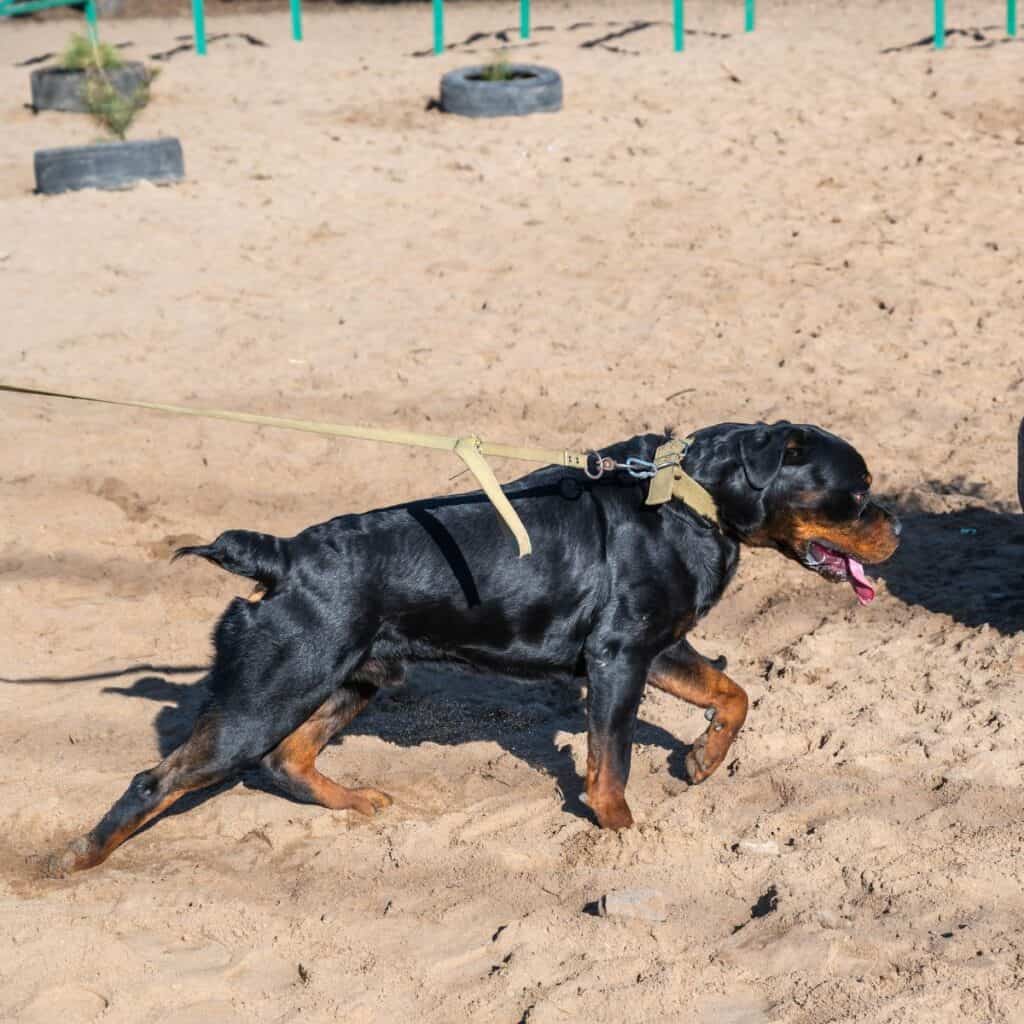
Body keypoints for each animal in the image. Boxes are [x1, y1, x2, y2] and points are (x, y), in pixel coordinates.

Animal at [48, 419, 901, 876]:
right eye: (856, 492)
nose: (896, 527)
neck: (693, 499)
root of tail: (283, 555)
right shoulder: (619, 657)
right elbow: (611, 763)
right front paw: (620, 830)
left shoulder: (657, 647)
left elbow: (734, 693)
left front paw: (700, 761)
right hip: (271, 690)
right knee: (160, 779)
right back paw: (74, 859)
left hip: (351, 679)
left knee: (288, 759)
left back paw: (355, 802)